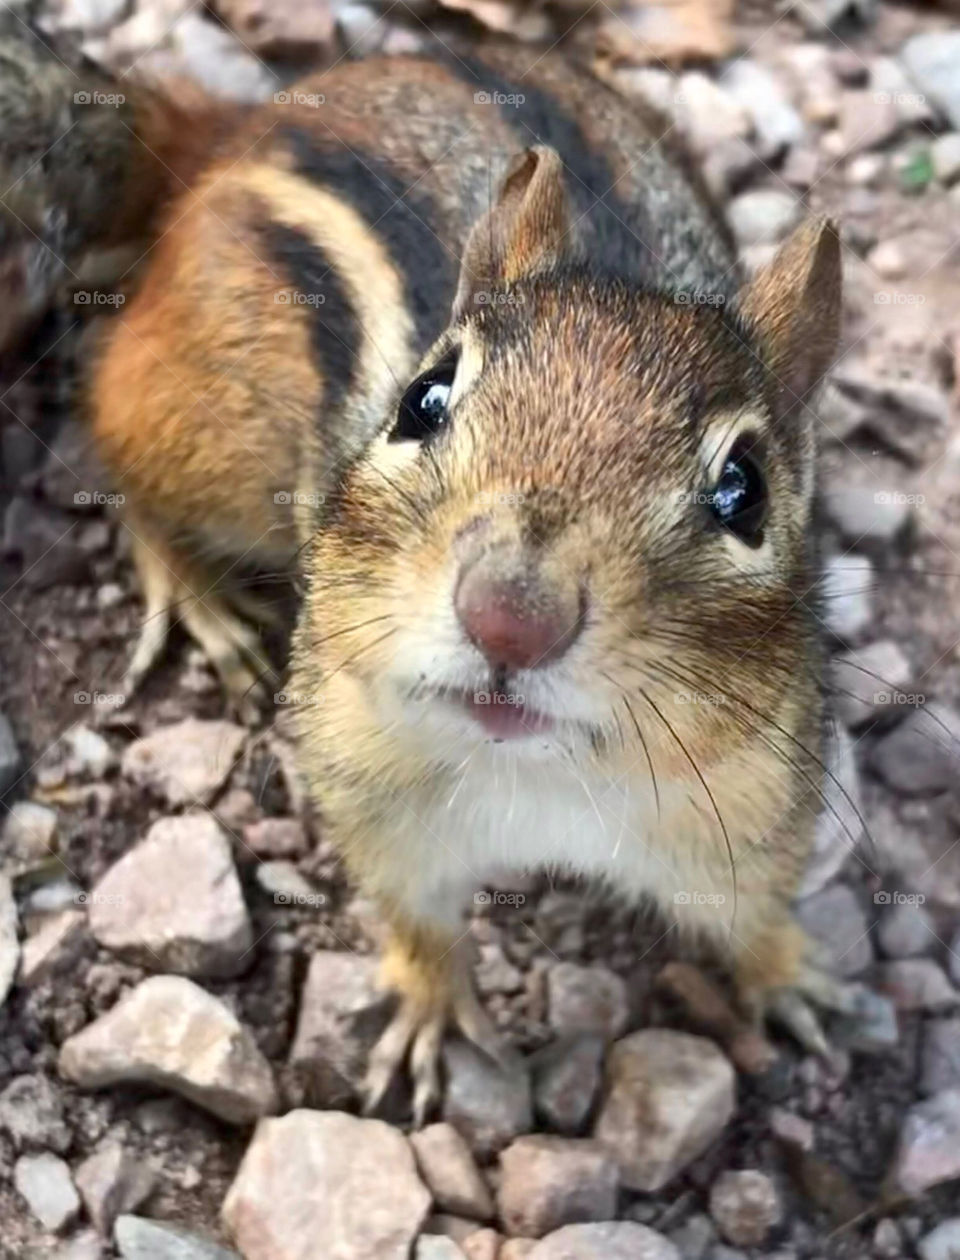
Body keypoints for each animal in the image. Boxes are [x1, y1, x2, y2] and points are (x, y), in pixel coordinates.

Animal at [6, 33, 846, 1121]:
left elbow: (754, 913)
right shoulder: (368, 784)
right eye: (424, 399)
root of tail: (229, 131)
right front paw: (430, 1011)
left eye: (744, 489)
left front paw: (793, 980)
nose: (511, 617)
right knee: (114, 435)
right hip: (199, 430)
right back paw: (198, 600)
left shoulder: (753, 805)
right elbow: (415, 918)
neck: (541, 777)